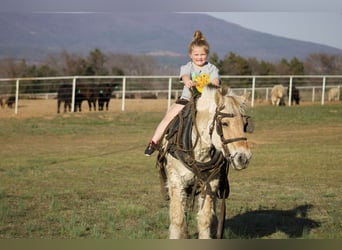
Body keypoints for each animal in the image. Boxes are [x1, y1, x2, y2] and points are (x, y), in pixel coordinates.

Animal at [157, 85, 251, 238]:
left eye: (244, 124)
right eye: (224, 123)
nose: (244, 158)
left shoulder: (210, 183)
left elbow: (204, 219)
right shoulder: (176, 181)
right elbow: (178, 218)